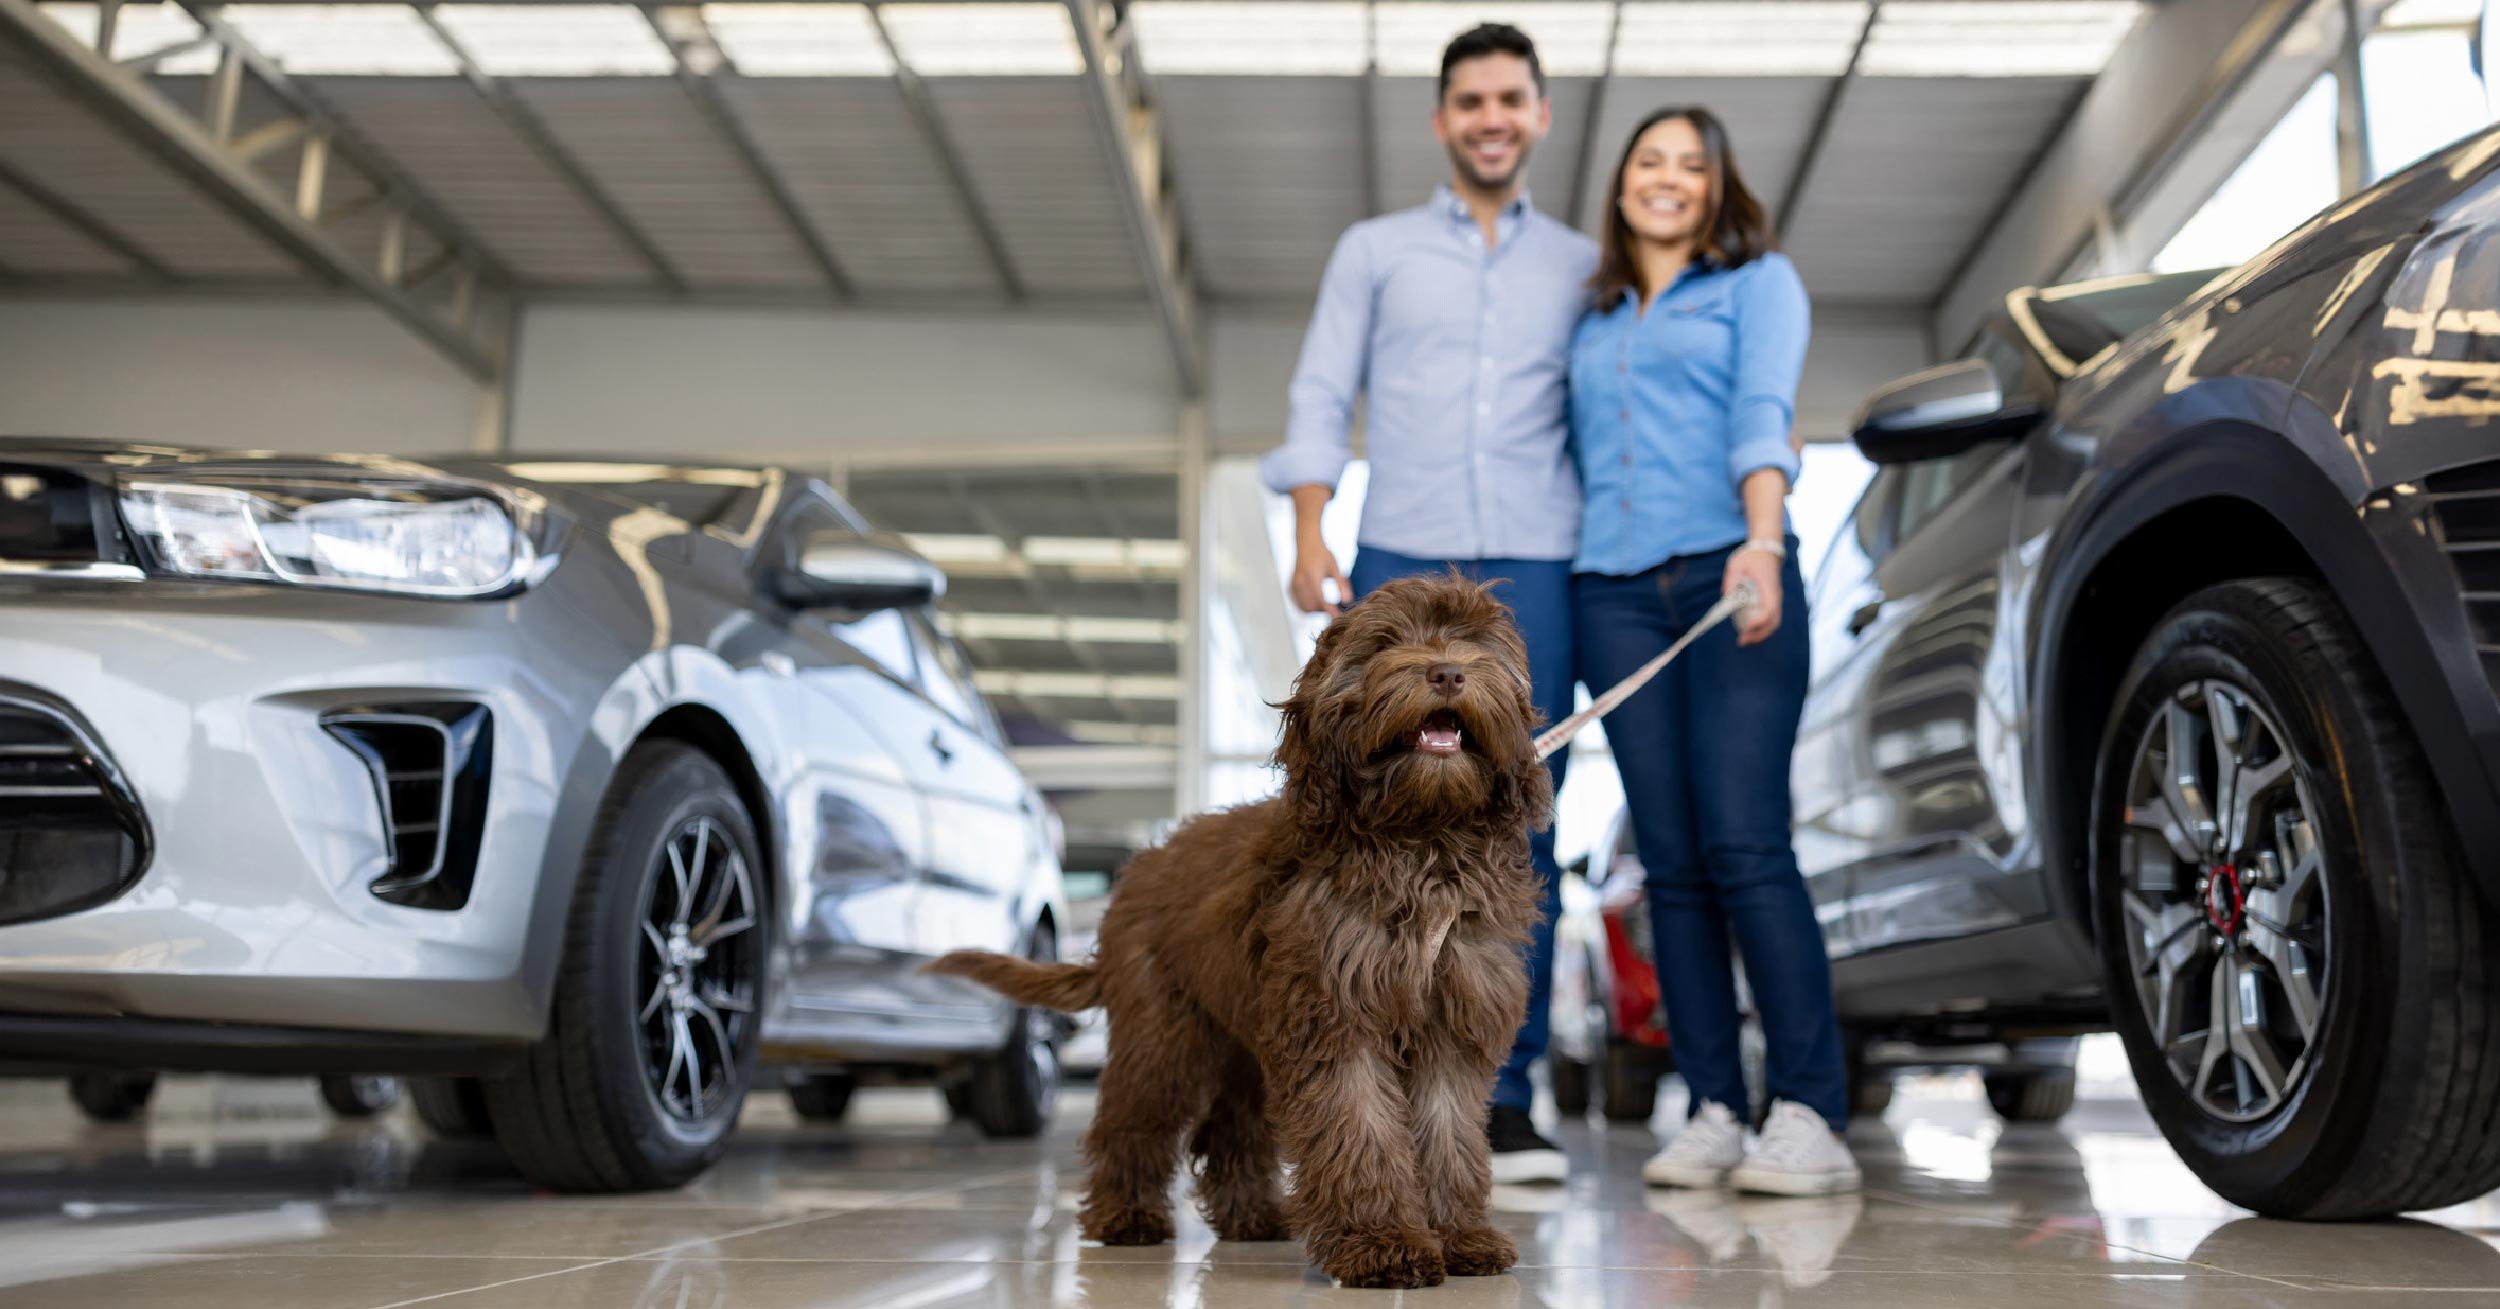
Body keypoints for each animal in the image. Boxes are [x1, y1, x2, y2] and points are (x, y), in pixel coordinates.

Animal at [925, 574, 1540, 1289]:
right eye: (1387, 643)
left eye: (1474, 643)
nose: (1446, 672)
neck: (1421, 843)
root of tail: (1144, 864)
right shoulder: (1336, 1015)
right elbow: (1359, 1124)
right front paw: (1383, 1242)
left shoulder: (1450, 1022)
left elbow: (1448, 1134)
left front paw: (1460, 1237)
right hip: (1166, 1032)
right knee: (1133, 1122)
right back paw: (1126, 1217)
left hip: (1246, 1038)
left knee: (1233, 1130)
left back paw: (1252, 1216)